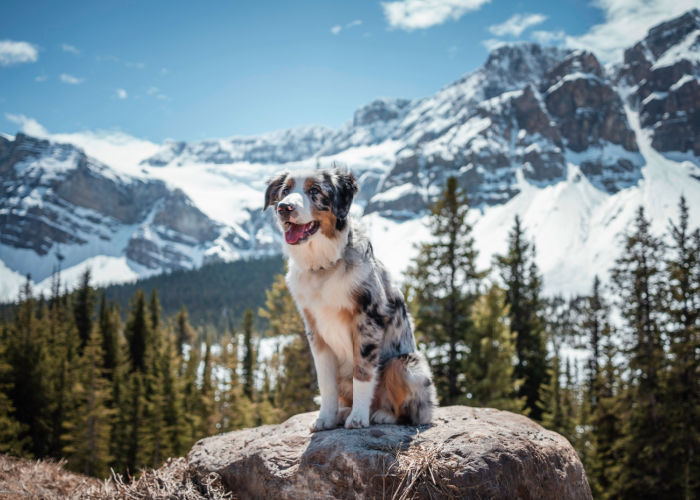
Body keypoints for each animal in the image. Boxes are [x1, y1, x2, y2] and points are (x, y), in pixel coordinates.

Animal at [264, 167, 434, 430]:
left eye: (315, 190)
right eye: (285, 191)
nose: (284, 208)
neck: (323, 265)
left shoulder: (368, 318)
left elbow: (362, 373)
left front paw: (358, 418)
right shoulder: (314, 329)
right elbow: (325, 382)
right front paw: (325, 418)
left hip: (407, 365)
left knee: (410, 412)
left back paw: (380, 415)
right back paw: (342, 412)